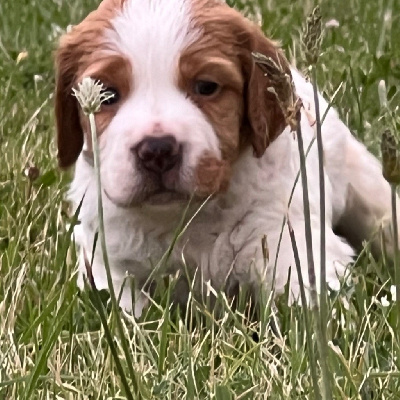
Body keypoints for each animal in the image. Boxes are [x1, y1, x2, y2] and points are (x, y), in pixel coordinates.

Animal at [55, 0, 396, 318]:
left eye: (206, 87)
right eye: (108, 95)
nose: (157, 150)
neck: (188, 215)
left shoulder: (287, 236)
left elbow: (307, 300)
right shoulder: (107, 258)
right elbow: (125, 310)